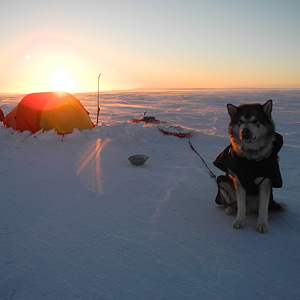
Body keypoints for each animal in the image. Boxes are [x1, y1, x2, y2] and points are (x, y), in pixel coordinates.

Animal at [214, 99, 282, 233]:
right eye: (240, 121)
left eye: (255, 121)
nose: (244, 131)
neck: (250, 159)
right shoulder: (239, 182)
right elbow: (240, 206)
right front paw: (239, 221)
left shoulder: (266, 183)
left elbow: (263, 207)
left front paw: (262, 223)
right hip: (223, 180)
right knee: (232, 202)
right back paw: (230, 209)